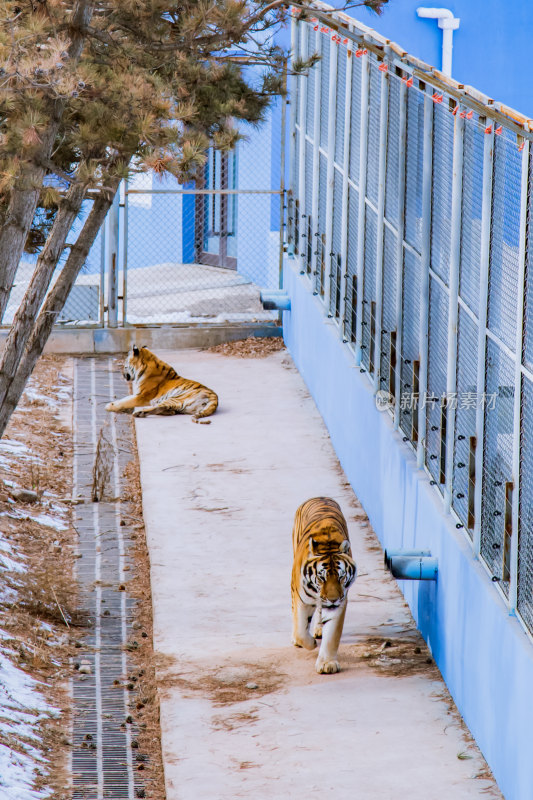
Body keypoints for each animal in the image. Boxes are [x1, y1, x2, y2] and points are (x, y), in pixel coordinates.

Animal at [294, 496, 356, 672]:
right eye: (321, 578)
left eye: (341, 577)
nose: (333, 599)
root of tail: (320, 496)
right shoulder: (300, 598)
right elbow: (300, 631)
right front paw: (310, 643)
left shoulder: (340, 602)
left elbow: (332, 635)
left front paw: (327, 664)